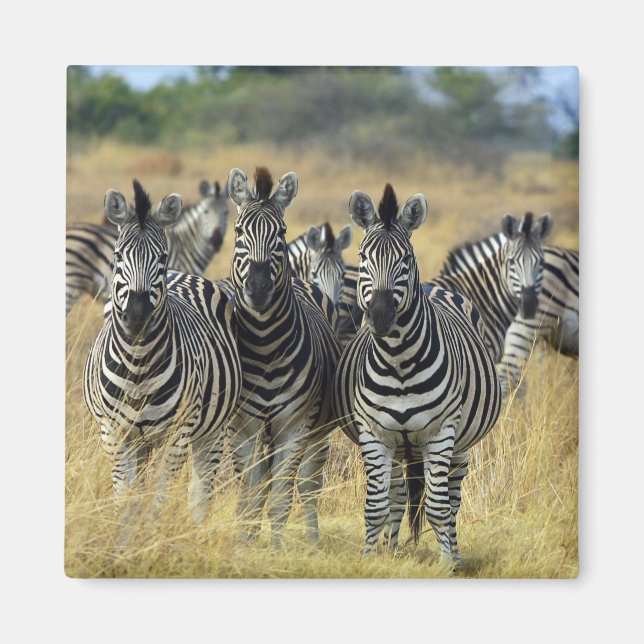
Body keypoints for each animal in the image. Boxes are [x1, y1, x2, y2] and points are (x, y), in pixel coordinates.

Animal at [83, 179, 241, 523]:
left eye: (162, 256)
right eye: (118, 255)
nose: (137, 316)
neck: (138, 362)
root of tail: (185, 275)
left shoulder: (178, 433)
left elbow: (161, 498)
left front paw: (154, 532)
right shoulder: (114, 434)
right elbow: (126, 499)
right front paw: (127, 534)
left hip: (212, 428)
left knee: (200, 488)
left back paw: (195, 527)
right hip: (141, 441)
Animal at [224, 166, 341, 547]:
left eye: (282, 233)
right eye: (238, 232)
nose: (259, 287)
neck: (264, 346)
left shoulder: (295, 424)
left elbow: (280, 497)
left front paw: (275, 550)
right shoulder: (242, 427)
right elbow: (249, 493)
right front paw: (245, 545)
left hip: (316, 432)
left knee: (308, 485)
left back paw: (313, 541)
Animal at [333, 184, 502, 566]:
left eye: (405, 261)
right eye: (362, 258)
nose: (381, 317)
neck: (398, 361)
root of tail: (434, 286)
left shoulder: (440, 433)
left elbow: (438, 508)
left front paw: (447, 565)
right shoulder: (374, 432)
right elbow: (375, 507)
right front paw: (370, 559)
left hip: (460, 446)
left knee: (451, 502)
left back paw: (455, 555)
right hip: (399, 446)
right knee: (396, 495)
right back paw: (391, 548)